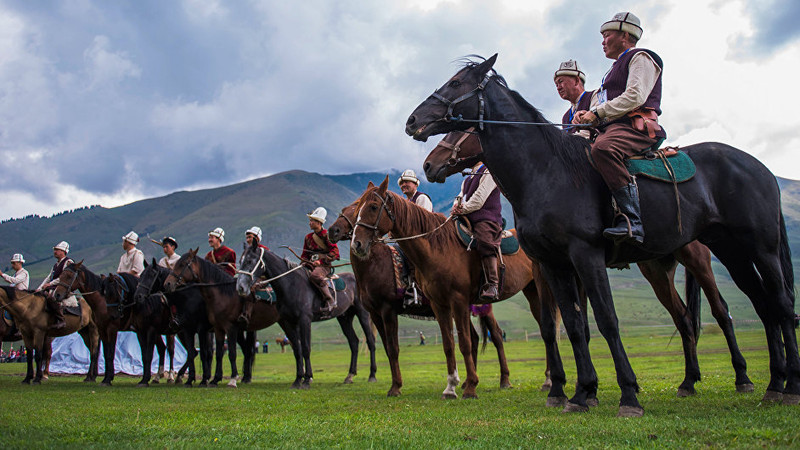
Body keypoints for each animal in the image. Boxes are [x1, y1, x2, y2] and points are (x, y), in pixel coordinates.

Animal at [234, 241, 378, 388]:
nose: (240, 288)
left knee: (371, 341)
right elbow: (297, 350)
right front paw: (298, 379)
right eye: (240, 261)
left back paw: (372, 375)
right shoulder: (289, 323)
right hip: (344, 317)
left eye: (250, 260)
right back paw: (350, 375)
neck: (291, 285)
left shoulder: (305, 320)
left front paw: (307, 379)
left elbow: (306, 348)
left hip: (363, 314)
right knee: (353, 342)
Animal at [352, 178, 568, 400]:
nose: (357, 244)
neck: (438, 249)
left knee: (531, 330)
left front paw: (470, 387)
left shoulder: (456, 301)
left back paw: (542, 380)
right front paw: (451, 387)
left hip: (536, 291)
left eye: (373, 207)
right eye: (357, 209)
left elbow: (464, 342)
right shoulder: (439, 305)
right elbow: (449, 345)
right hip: (531, 292)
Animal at [422, 127, 752, 394]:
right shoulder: (551, 269)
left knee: (721, 311)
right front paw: (577, 384)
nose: (429, 164)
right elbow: (563, 324)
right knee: (682, 317)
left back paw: (742, 378)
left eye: (461, 130)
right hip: (656, 269)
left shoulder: (575, 264)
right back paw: (688, 381)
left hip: (698, 260)